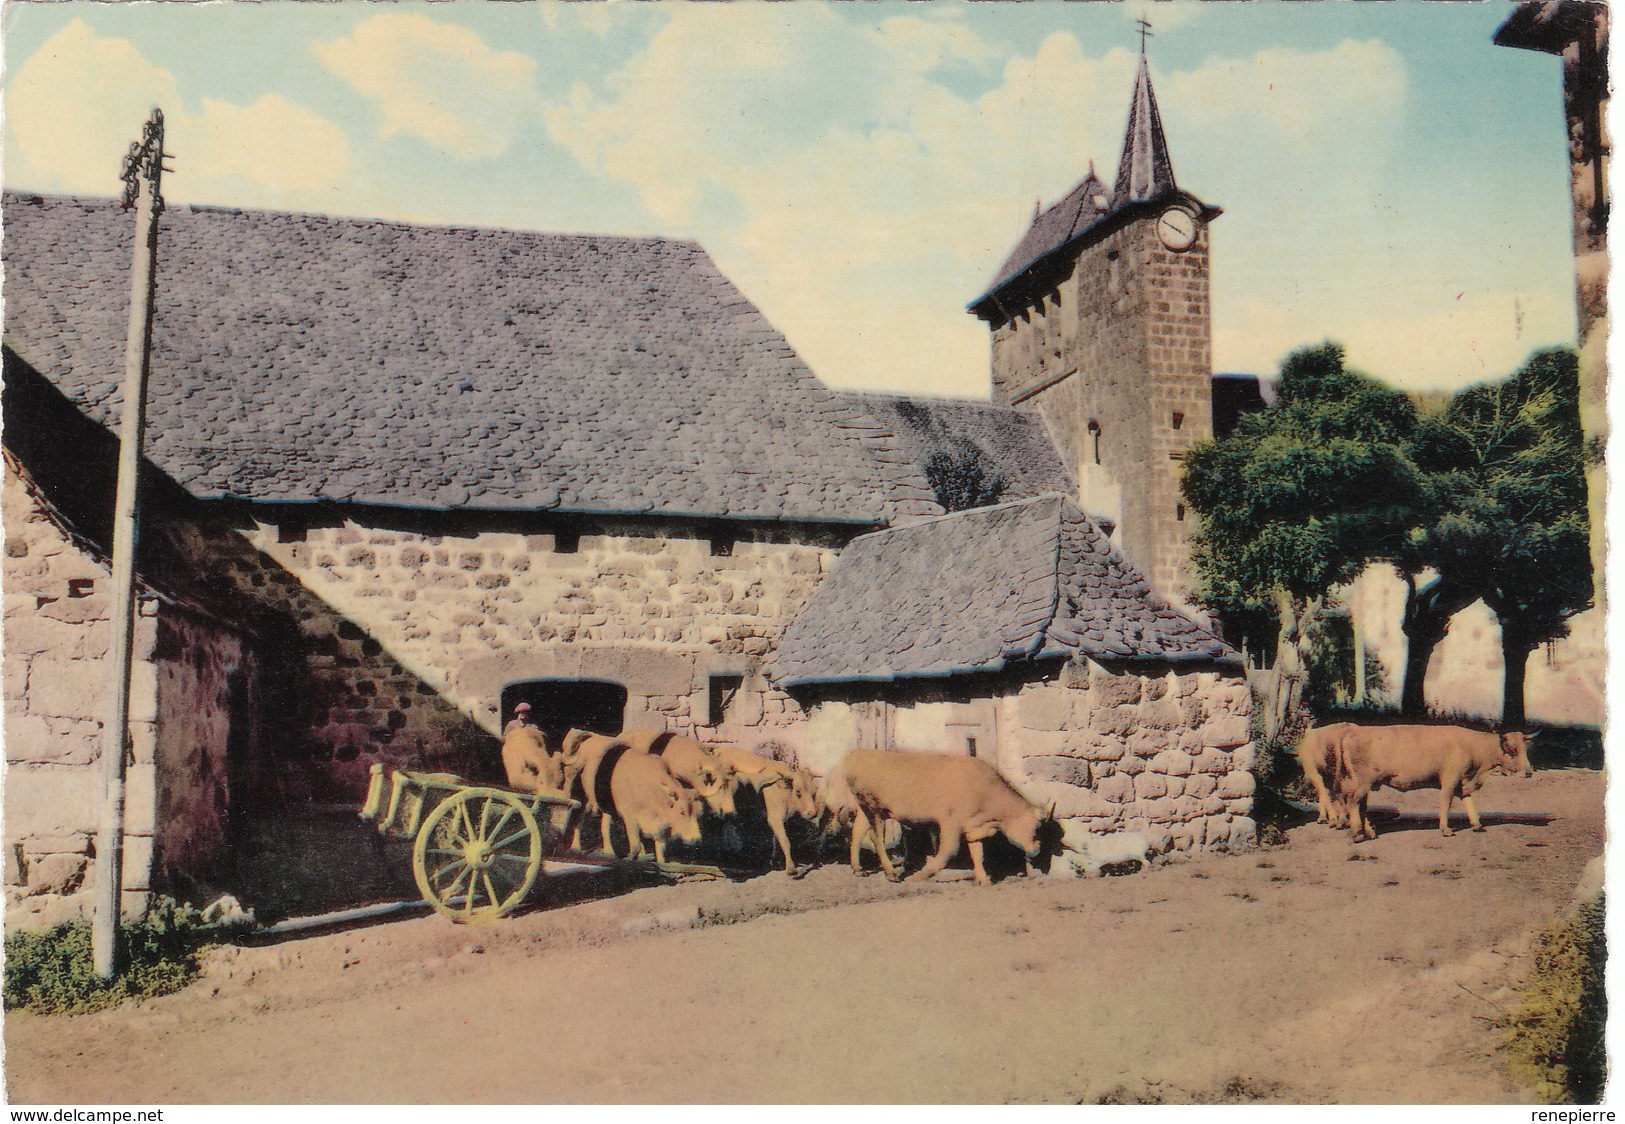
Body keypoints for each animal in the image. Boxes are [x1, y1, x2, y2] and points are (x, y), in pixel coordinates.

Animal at [1339, 724, 1527, 838]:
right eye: (1512, 750)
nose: (1528, 771)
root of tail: (1355, 732)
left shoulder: (1462, 782)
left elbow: (1468, 802)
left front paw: (1477, 824)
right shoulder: (1451, 778)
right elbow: (1446, 802)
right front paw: (1445, 829)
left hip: (1366, 784)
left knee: (1361, 806)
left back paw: (1369, 832)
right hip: (1363, 782)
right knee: (1353, 801)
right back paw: (1356, 832)